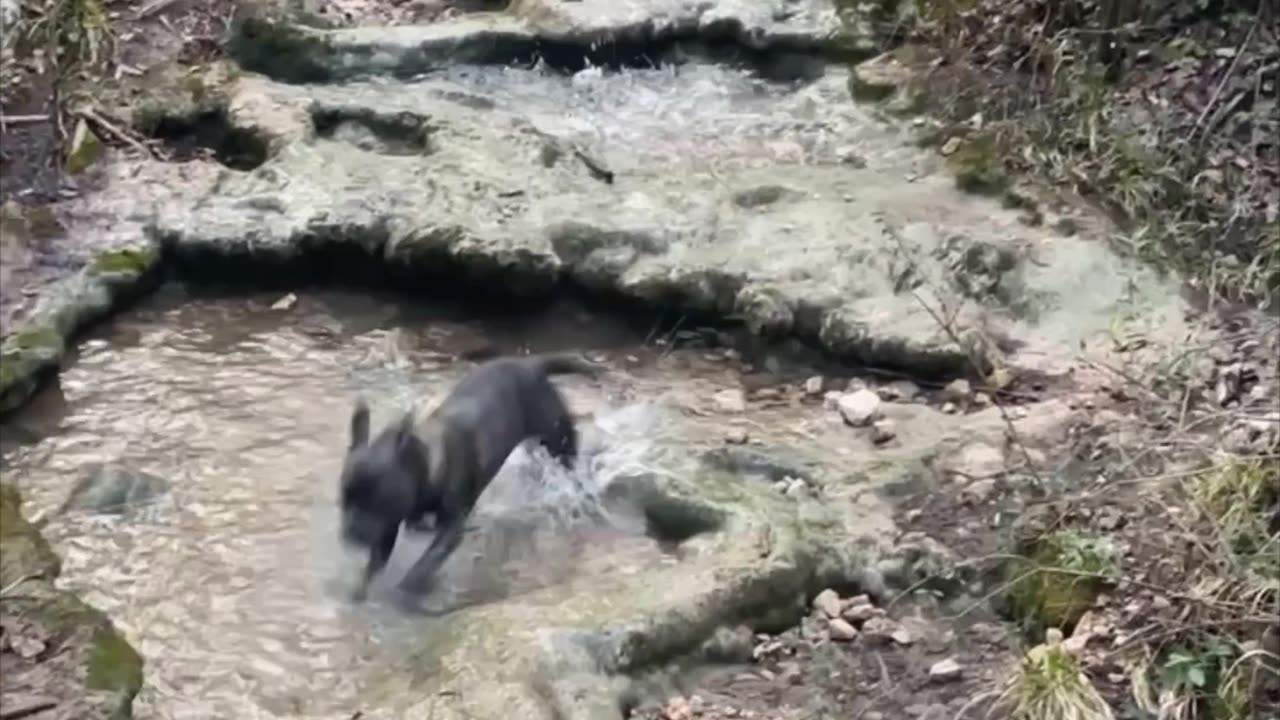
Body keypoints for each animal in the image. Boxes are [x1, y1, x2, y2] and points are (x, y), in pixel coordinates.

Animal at [340, 351, 599, 602]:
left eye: (378, 500)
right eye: (343, 499)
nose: (351, 532)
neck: (426, 462)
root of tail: (530, 365)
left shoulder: (450, 526)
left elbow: (430, 557)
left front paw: (409, 586)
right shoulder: (389, 527)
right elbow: (376, 563)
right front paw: (359, 590)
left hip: (557, 441)